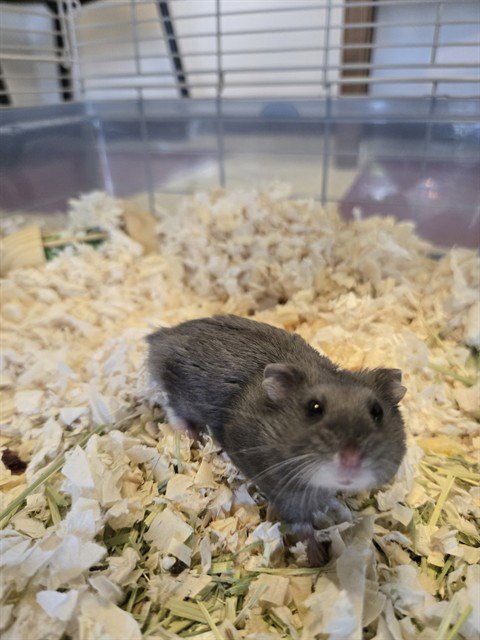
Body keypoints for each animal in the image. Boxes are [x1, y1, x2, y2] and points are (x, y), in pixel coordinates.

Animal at [146, 315, 406, 559]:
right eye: (314, 408)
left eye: (377, 412)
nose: (351, 463)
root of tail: (160, 336)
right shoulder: (284, 490)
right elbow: (301, 525)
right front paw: (317, 557)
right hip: (179, 392)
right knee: (171, 407)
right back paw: (190, 435)